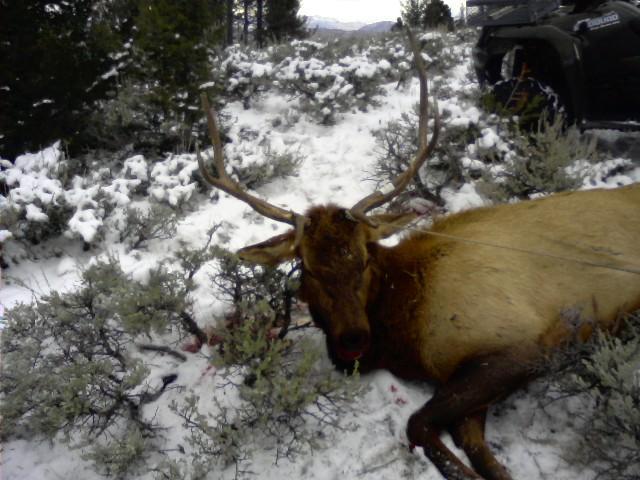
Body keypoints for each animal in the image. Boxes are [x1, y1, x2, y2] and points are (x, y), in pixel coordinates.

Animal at [196, 31, 640, 480]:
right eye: (309, 269)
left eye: (364, 259)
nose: (353, 337)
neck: (406, 331)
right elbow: (471, 447)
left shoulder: (522, 344)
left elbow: (419, 425)